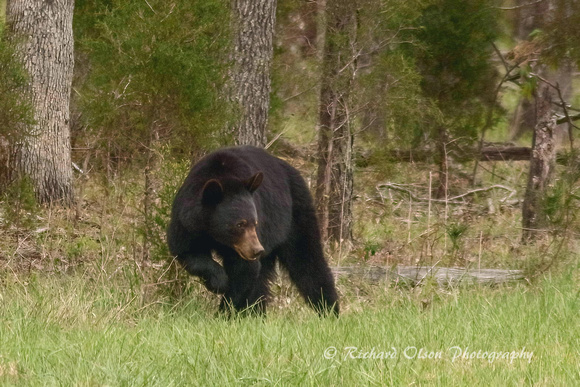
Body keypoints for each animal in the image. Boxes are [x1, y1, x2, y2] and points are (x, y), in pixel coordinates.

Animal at [168, 147, 338, 316]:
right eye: (240, 224)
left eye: (254, 223)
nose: (257, 250)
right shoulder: (187, 223)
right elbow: (187, 252)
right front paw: (219, 281)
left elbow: (245, 270)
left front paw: (226, 311)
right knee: (263, 278)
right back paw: (257, 312)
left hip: (294, 216)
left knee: (306, 260)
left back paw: (329, 308)